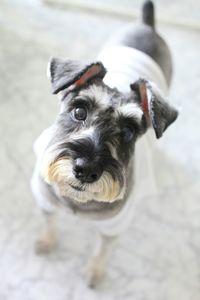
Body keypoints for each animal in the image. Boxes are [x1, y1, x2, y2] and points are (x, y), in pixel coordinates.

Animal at [30, 0, 178, 288]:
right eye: (79, 111)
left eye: (128, 131)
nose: (86, 170)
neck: (78, 201)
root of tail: (146, 25)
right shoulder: (46, 202)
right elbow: (50, 223)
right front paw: (46, 242)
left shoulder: (114, 227)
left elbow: (103, 249)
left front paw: (95, 273)